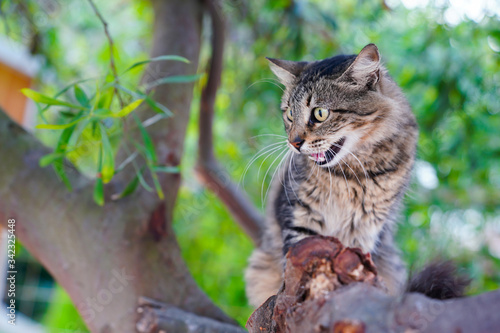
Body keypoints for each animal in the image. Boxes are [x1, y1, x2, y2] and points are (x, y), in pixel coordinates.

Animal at [245, 43, 418, 306]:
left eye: (319, 113)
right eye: (290, 114)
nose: (294, 143)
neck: (350, 176)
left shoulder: (365, 228)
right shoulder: (300, 216)